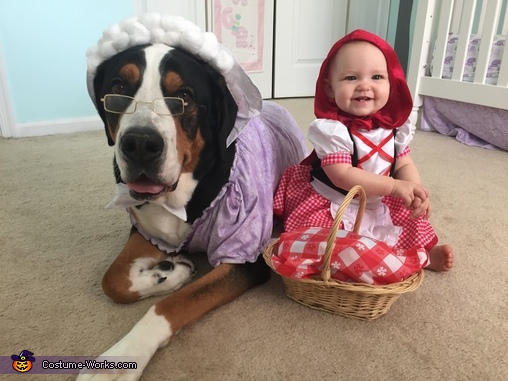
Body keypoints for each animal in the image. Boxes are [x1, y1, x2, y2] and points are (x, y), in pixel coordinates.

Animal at [76, 13, 306, 378]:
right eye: (118, 89)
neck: (178, 197)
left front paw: (118, 360)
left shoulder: (244, 257)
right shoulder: (146, 230)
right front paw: (166, 273)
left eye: (182, 95)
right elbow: (112, 280)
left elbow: (172, 305)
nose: (140, 144)